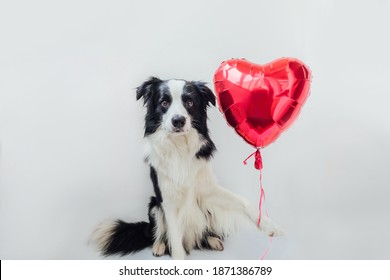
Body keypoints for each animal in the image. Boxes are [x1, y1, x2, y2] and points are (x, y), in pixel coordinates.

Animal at [91, 77, 284, 260]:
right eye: (164, 102)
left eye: (190, 102)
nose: (178, 120)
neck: (179, 147)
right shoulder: (167, 199)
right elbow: (175, 239)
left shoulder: (207, 188)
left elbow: (243, 201)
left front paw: (270, 225)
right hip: (154, 205)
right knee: (158, 233)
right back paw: (159, 246)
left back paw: (212, 240)